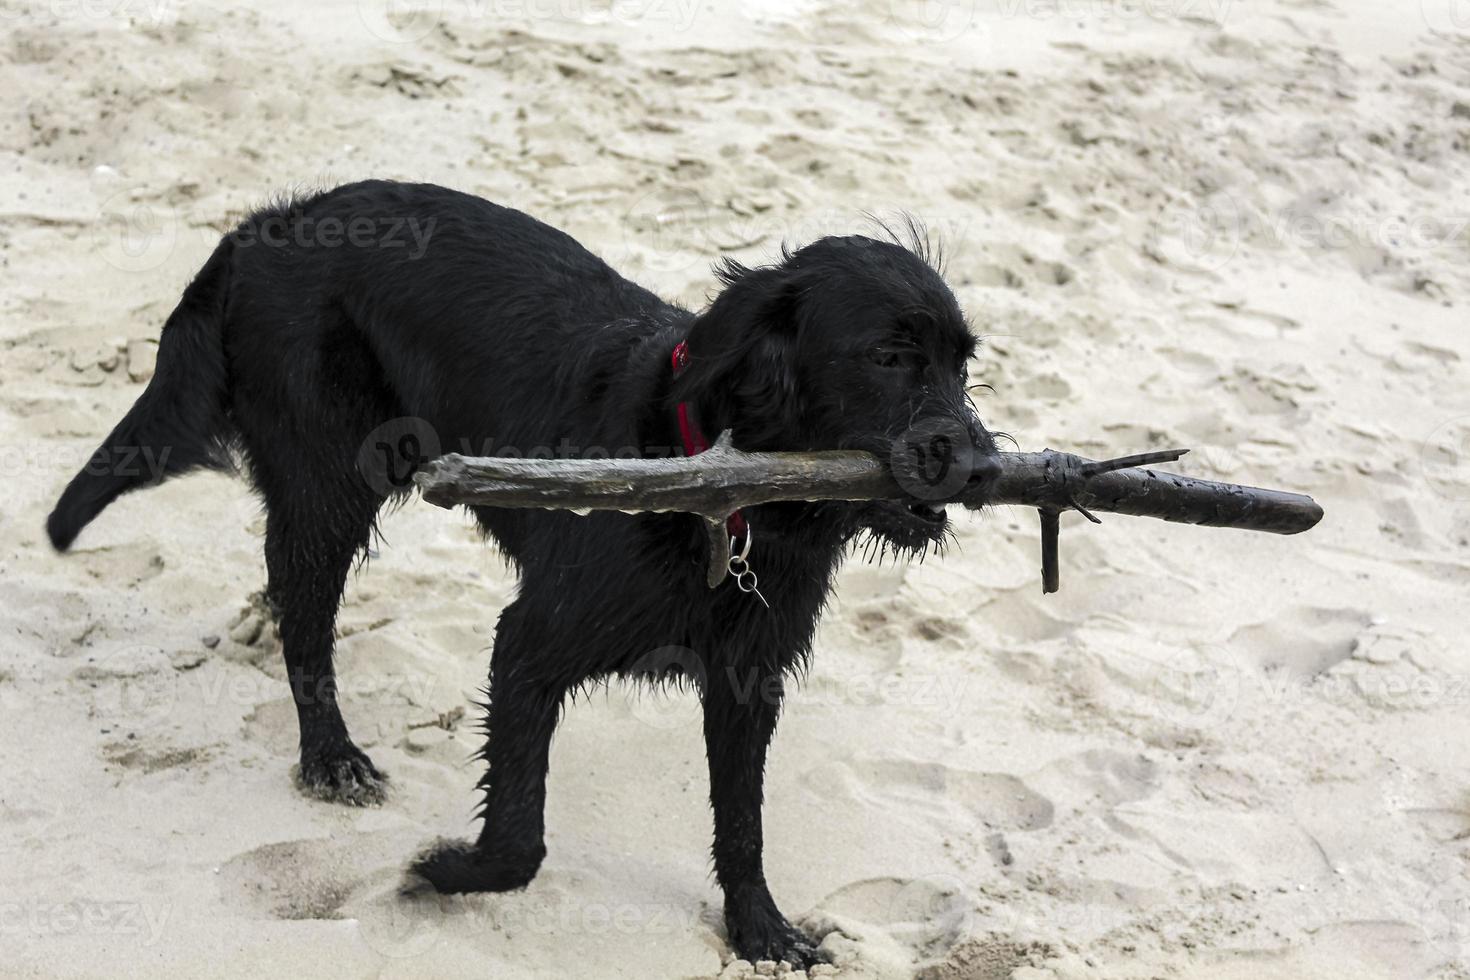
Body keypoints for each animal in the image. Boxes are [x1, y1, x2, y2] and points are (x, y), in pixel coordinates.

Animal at [54, 179, 999, 969]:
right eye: (888, 357)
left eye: (964, 364)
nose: (986, 467)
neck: (729, 500)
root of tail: (271, 223)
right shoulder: (529, 646)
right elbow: (518, 842)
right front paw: (438, 870)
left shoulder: (747, 676)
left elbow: (743, 825)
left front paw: (760, 928)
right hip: (329, 483)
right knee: (308, 619)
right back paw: (330, 755)